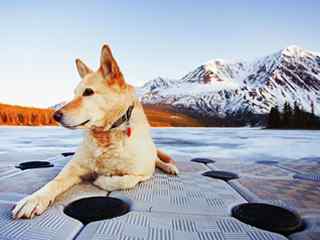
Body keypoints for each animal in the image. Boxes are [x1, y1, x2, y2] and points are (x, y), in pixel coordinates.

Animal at [11, 43, 179, 219]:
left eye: (88, 92)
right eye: (74, 94)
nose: (55, 116)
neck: (106, 135)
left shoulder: (142, 173)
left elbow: (124, 180)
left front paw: (102, 179)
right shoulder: (74, 168)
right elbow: (54, 182)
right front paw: (34, 199)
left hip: (151, 154)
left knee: (158, 160)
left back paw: (170, 167)